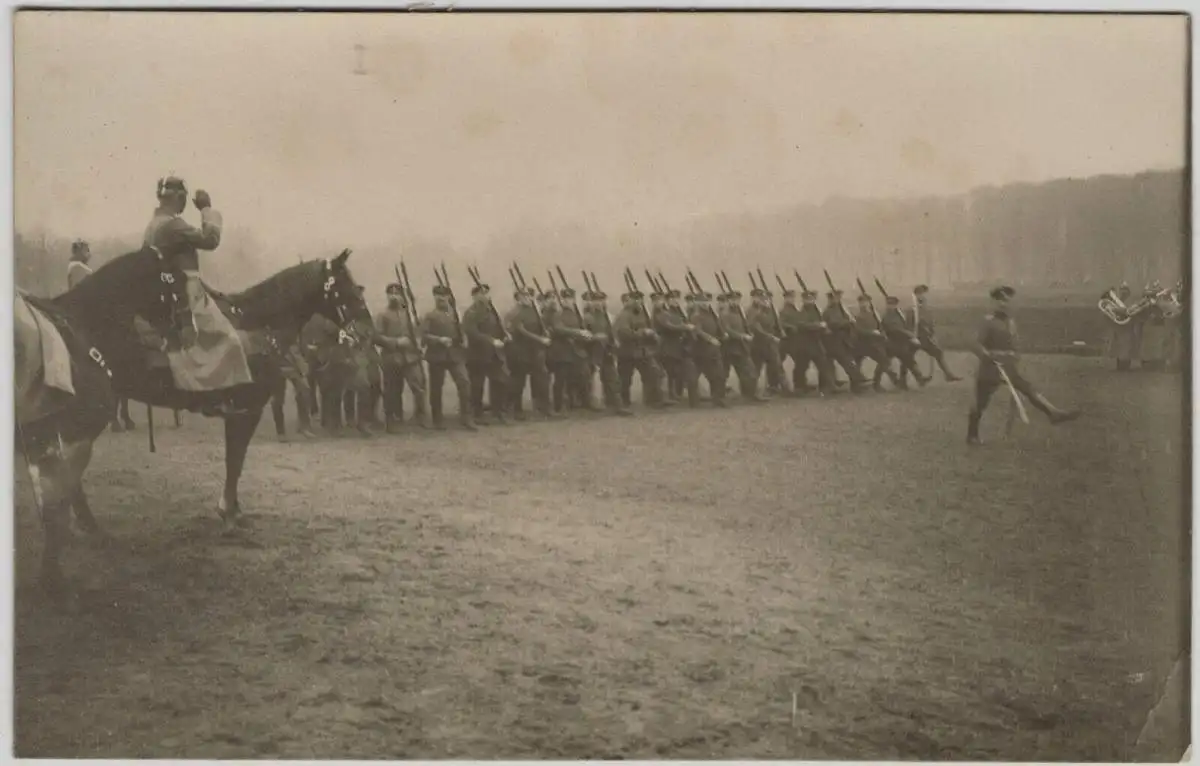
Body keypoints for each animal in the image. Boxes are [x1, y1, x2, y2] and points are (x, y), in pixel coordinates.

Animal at [15, 249, 369, 597]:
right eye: (345, 284)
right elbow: (234, 462)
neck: (257, 326)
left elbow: (235, 462)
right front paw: (229, 514)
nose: (366, 328)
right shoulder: (246, 411)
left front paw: (233, 511)